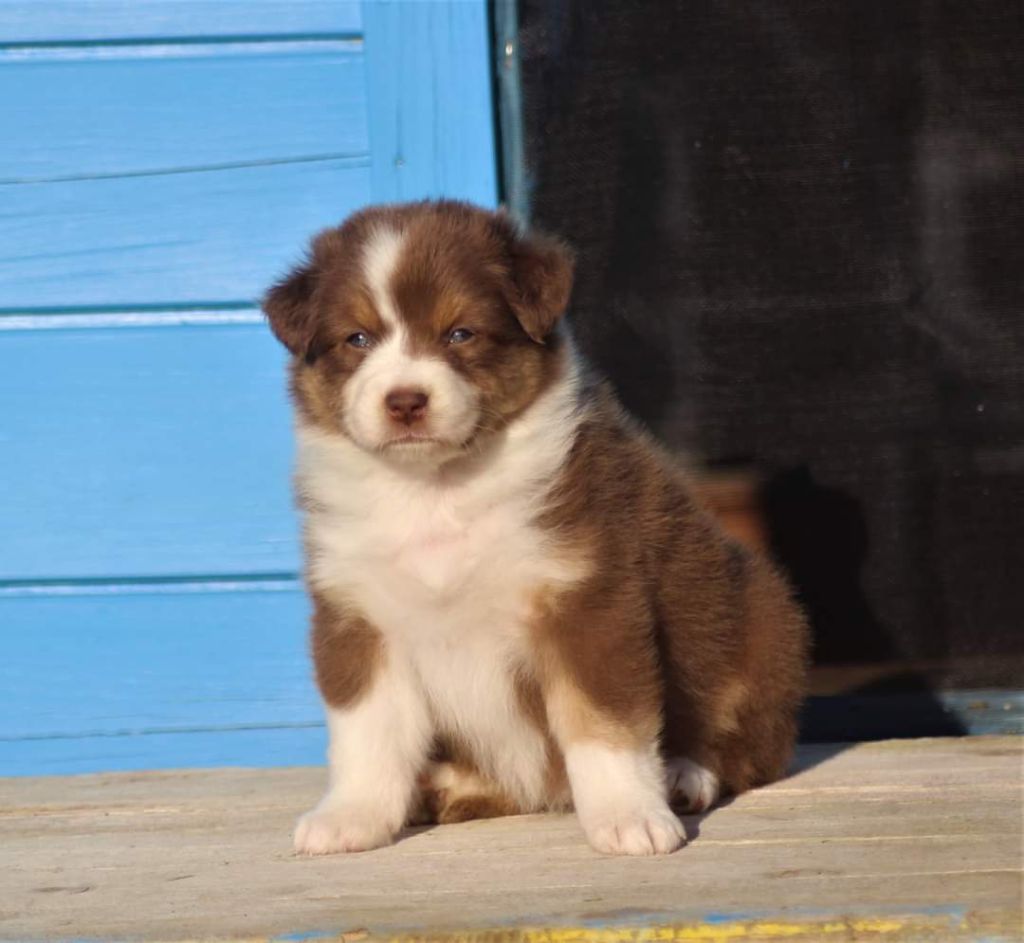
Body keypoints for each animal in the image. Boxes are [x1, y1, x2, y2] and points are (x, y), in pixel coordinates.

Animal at [264, 198, 806, 851]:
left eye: (460, 333)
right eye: (357, 339)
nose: (405, 401)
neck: (436, 490)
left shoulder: (588, 600)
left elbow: (602, 726)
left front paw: (628, 816)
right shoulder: (358, 617)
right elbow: (366, 734)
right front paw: (350, 816)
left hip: (760, 618)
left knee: (750, 745)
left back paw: (683, 774)